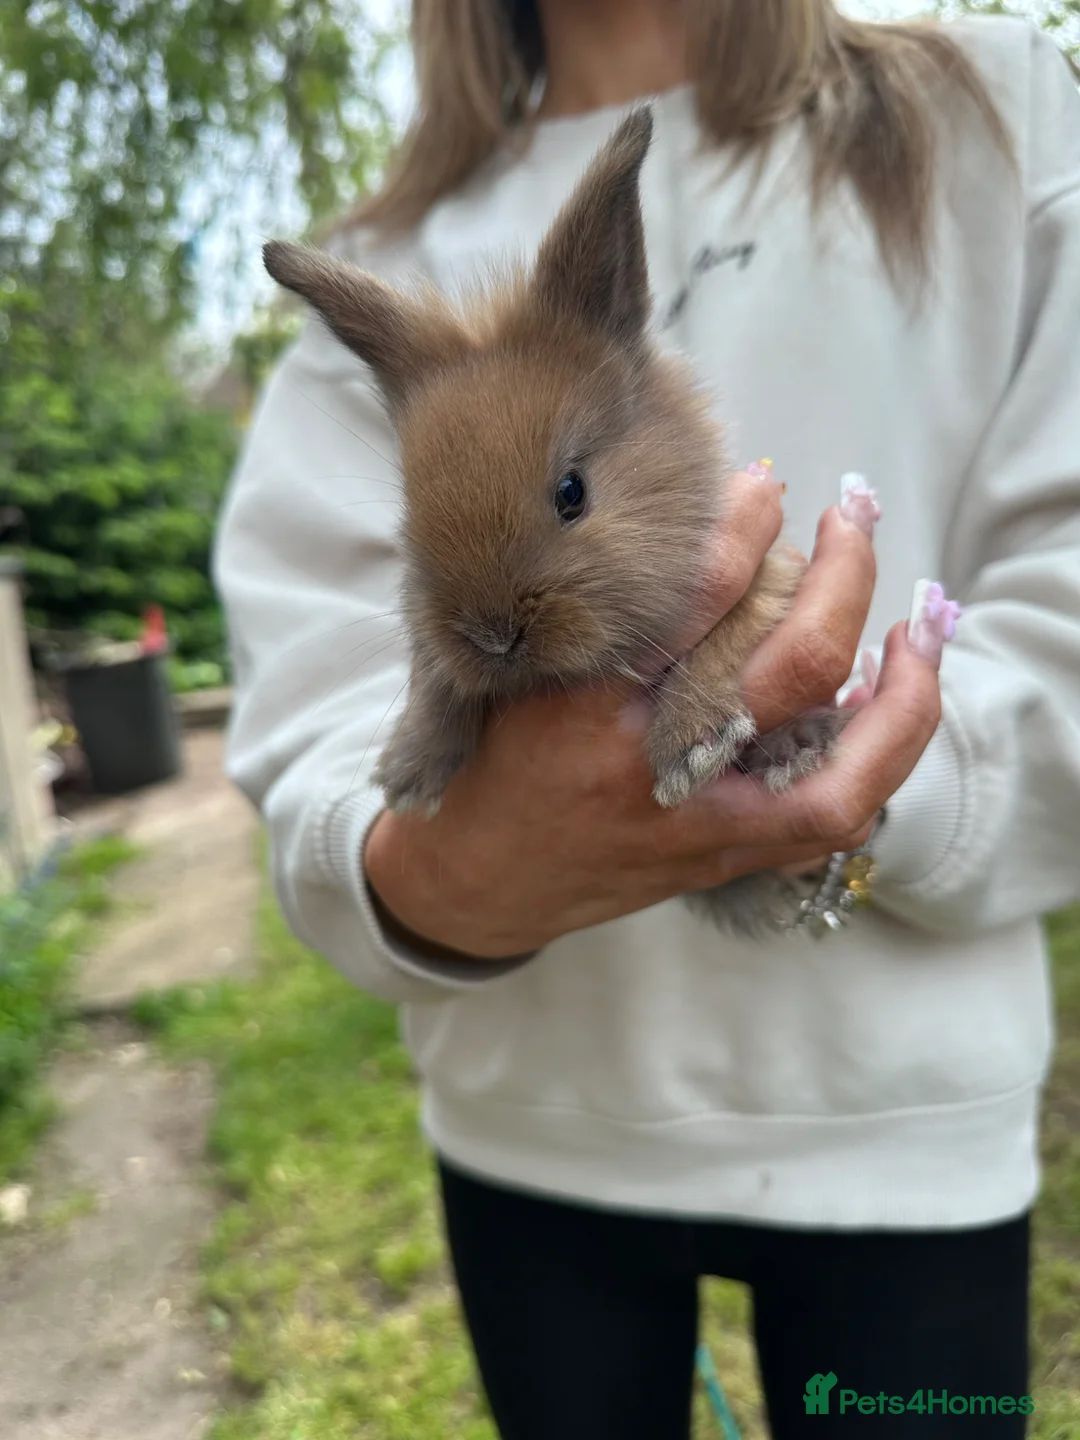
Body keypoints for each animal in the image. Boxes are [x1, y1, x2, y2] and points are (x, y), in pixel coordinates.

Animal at [263, 108, 855, 937]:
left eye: (572, 492)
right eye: (411, 511)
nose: (492, 637)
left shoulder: (772, 573)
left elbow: (732, 637)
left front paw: (691, 748)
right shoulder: (430, 638)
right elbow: (435, 677)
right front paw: (411, 771)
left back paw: (798, 748)